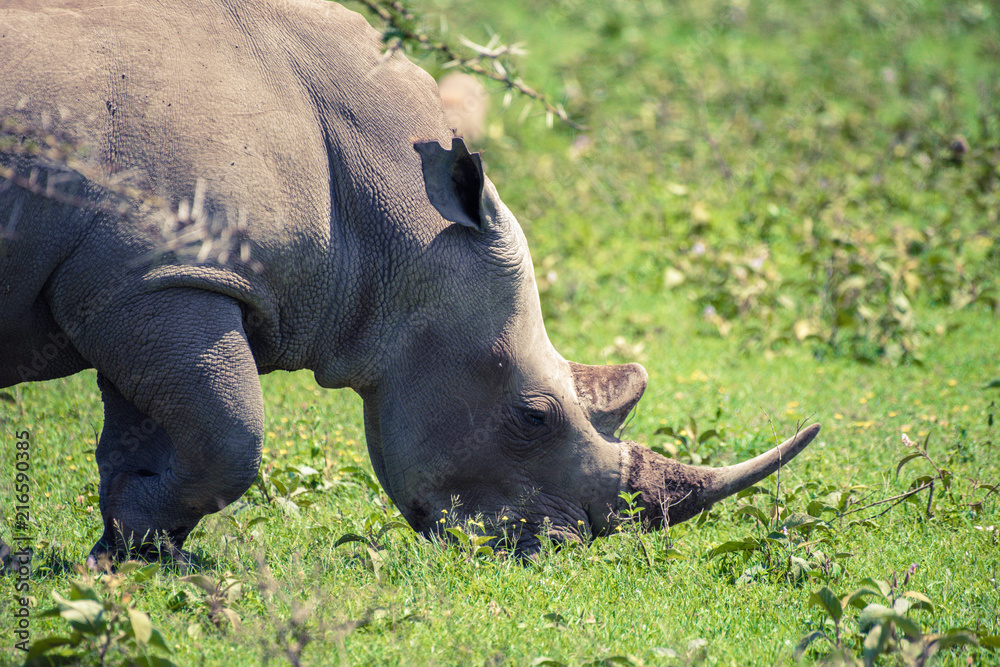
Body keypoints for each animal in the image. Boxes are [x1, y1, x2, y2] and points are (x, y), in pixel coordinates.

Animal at [0, 0, 819, 560]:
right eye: (534, 416)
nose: (556, 549)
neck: (388, 225)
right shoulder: (162, 275)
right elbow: (230, 434)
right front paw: (131, 547)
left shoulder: (145, 282)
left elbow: (150, 432)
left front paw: (129, 547)